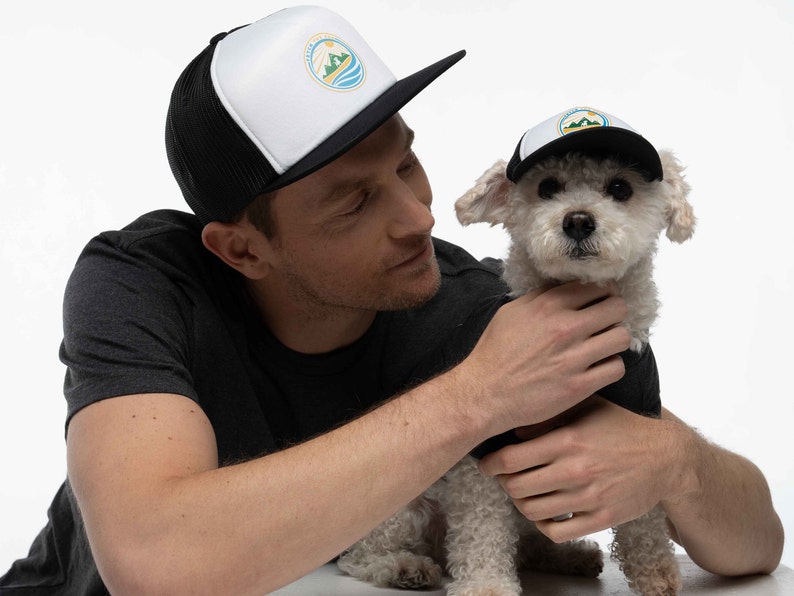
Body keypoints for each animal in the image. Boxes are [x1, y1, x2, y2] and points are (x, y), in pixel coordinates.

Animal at [338, 107, 692, 596]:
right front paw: (487, 585)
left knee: (528, 544)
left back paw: (569, 555)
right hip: (405, 504)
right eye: (547, 187)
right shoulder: (483, 453)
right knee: (359, 557)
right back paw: (403, 568)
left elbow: (643, 513)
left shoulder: (637, 426)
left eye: (621, 188)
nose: (577, 220)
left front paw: (656, 573)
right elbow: (482, 529)